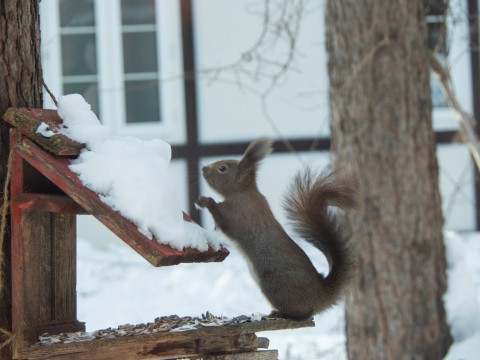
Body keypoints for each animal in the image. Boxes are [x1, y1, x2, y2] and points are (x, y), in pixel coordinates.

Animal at [195, 138, 356, 320]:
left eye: (223, 168)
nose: (203, 168)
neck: (242, 194)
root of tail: (321, 296)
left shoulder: (240, 216)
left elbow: (225, 223)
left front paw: (205, 201)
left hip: (274, 284)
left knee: (304, 314)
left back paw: (282, 313)